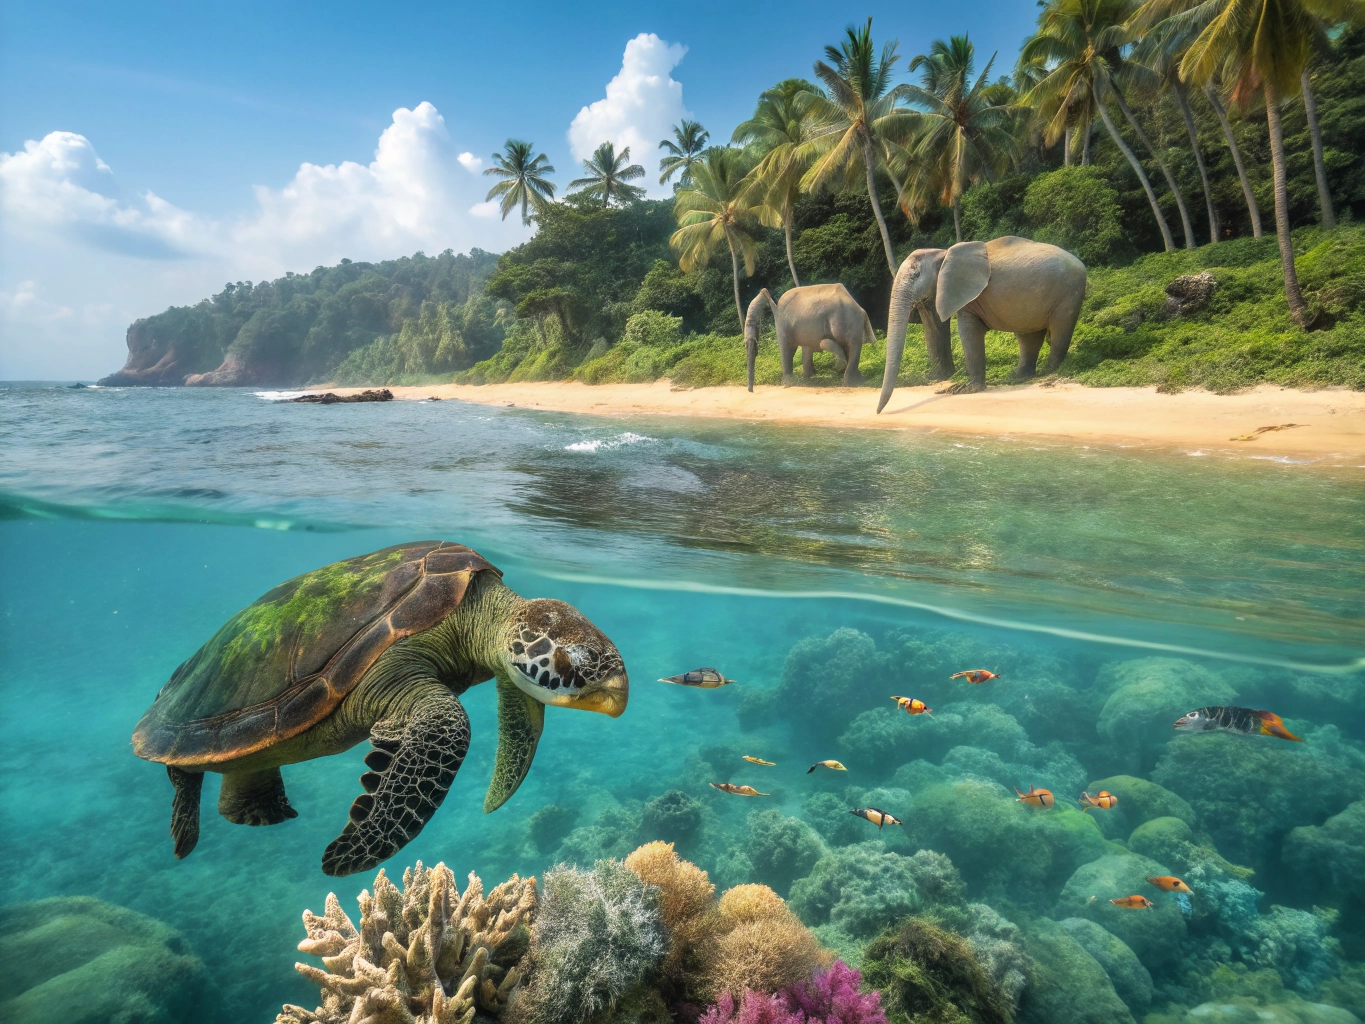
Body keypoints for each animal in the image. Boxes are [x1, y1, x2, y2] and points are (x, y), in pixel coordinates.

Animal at [744, 284, 876, 391]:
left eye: (757, 325)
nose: (751, 391)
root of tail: (861, 309)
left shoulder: (783, 324)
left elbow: (788, 349)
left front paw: (788, 384)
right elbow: (805, 349)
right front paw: (807, 378)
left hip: (845, 321)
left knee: (850, 345)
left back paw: (850, 381)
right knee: (848, 347)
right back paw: (856, 379)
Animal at [877, 236, 1087, 411]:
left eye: (916, 274)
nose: (879, 413)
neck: (942, 254)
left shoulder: (967, 293)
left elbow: (967, 330)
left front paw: (964, 388)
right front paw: (946, 382)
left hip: (1069, 292)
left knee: (1059, 330)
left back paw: (1047, 372)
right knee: (1028, 336)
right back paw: (1016, 377)